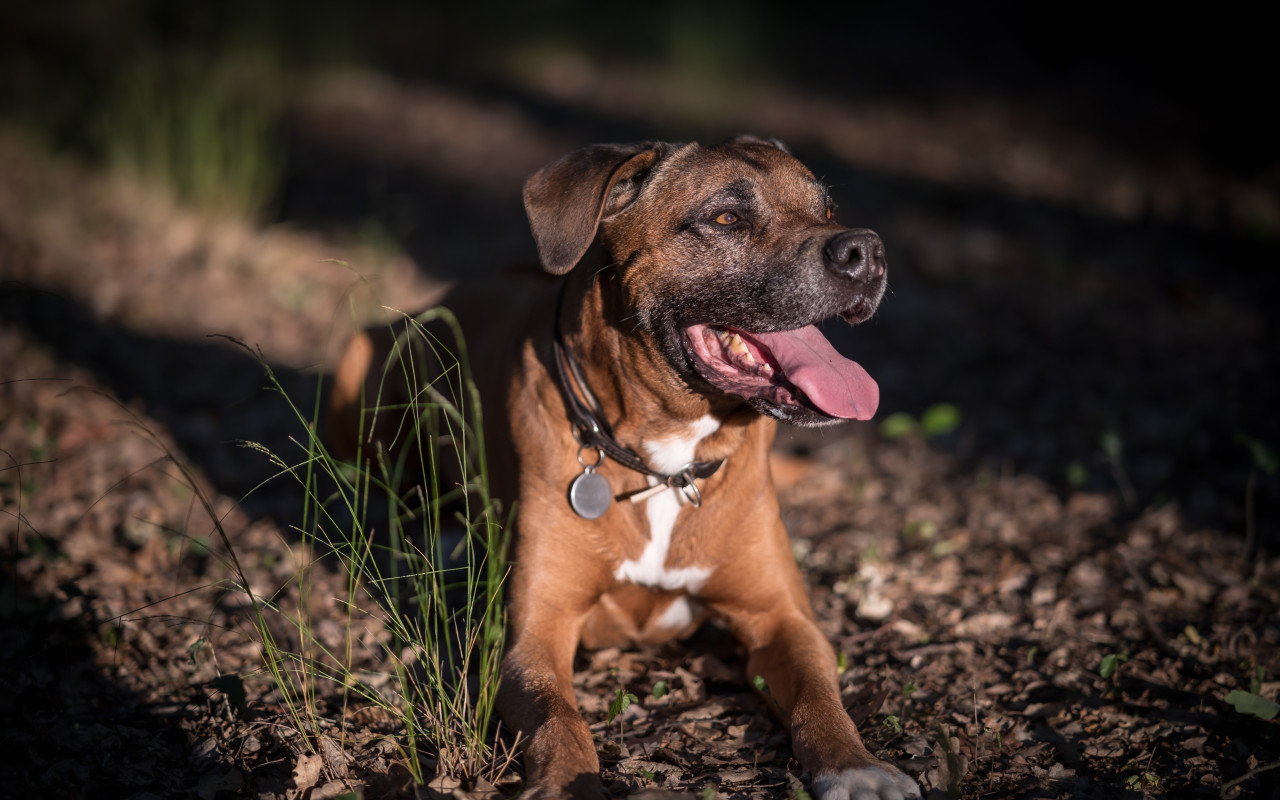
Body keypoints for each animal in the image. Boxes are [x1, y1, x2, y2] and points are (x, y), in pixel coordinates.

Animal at [330, 138, 921, 798]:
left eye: (827, 210)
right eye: (727, 218)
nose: (866, 250)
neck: (666, 461)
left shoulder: (781, 617)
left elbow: (820, 693)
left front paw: (859, 764)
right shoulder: (534, 633)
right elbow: (556, 716)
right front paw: (568, 782)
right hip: (356, 358)